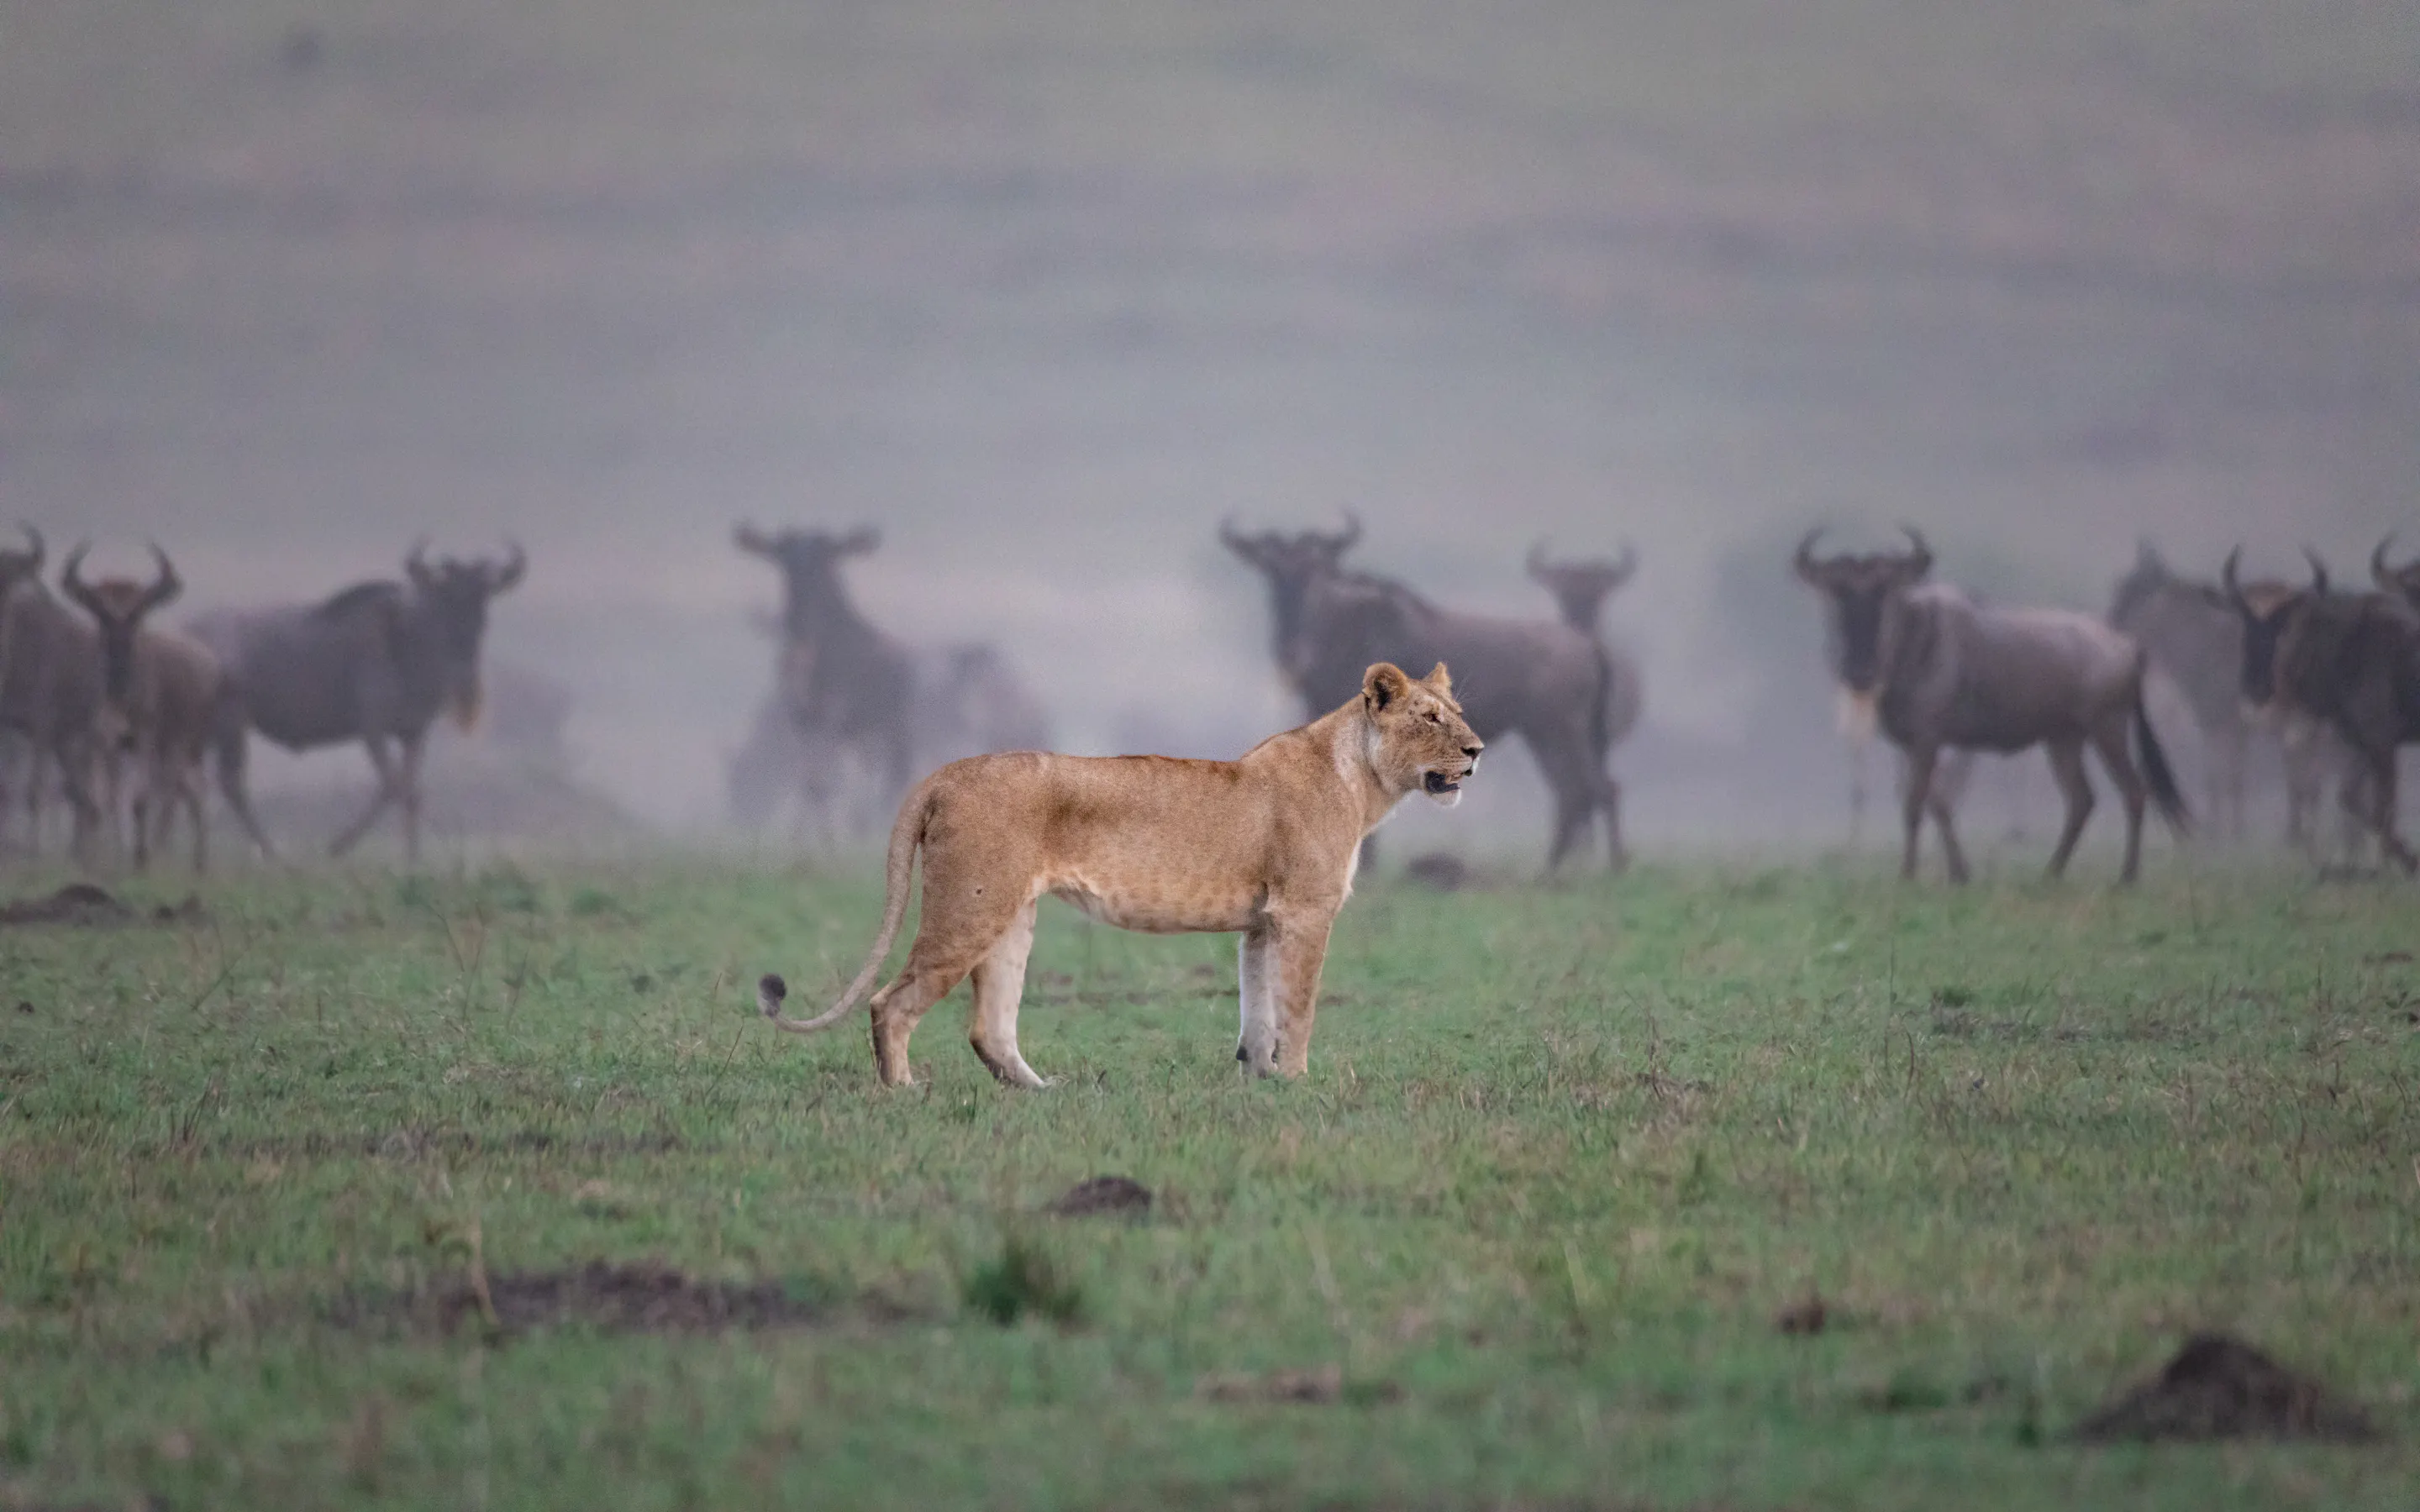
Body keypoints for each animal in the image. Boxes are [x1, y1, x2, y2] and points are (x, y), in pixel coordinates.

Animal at [758, 661, 1483, 1085]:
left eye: (1457, 714)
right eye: (1428, 718)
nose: (1477, 751)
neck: (1361, 781)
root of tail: (944, 773)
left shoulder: (1262, 923)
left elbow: (1258, 1008)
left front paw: (1260, 1079)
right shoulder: (1305, 912)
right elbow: (1299, 1006)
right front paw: (1300, 1083)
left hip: (1009, 916)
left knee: (989, 1028)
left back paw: (1042, 1094)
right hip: (970, 908)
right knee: (891, 1002)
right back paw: (905, 1092)